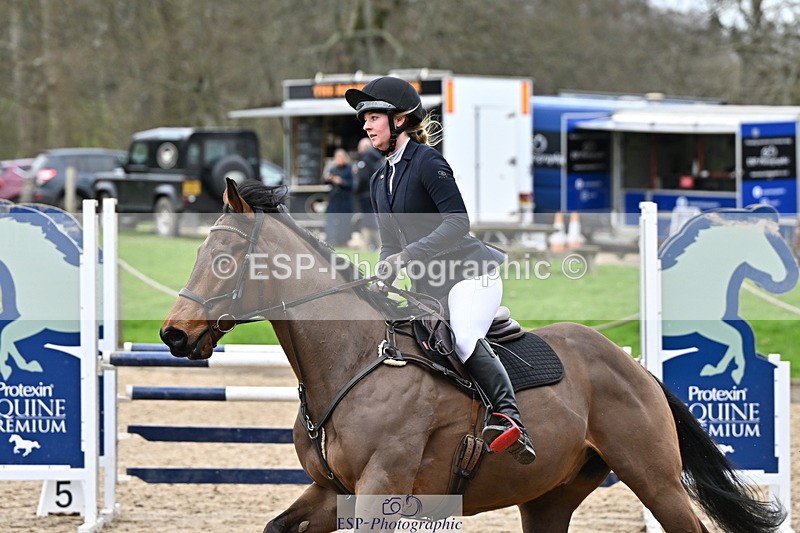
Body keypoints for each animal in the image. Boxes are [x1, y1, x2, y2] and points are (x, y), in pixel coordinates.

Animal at [660, 206, 798, 385]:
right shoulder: (705, 326)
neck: (697, 281)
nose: (778, 276)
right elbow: (736, 337)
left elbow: (738, 337)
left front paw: (721, 370)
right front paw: (732, 371)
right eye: (765, 246)